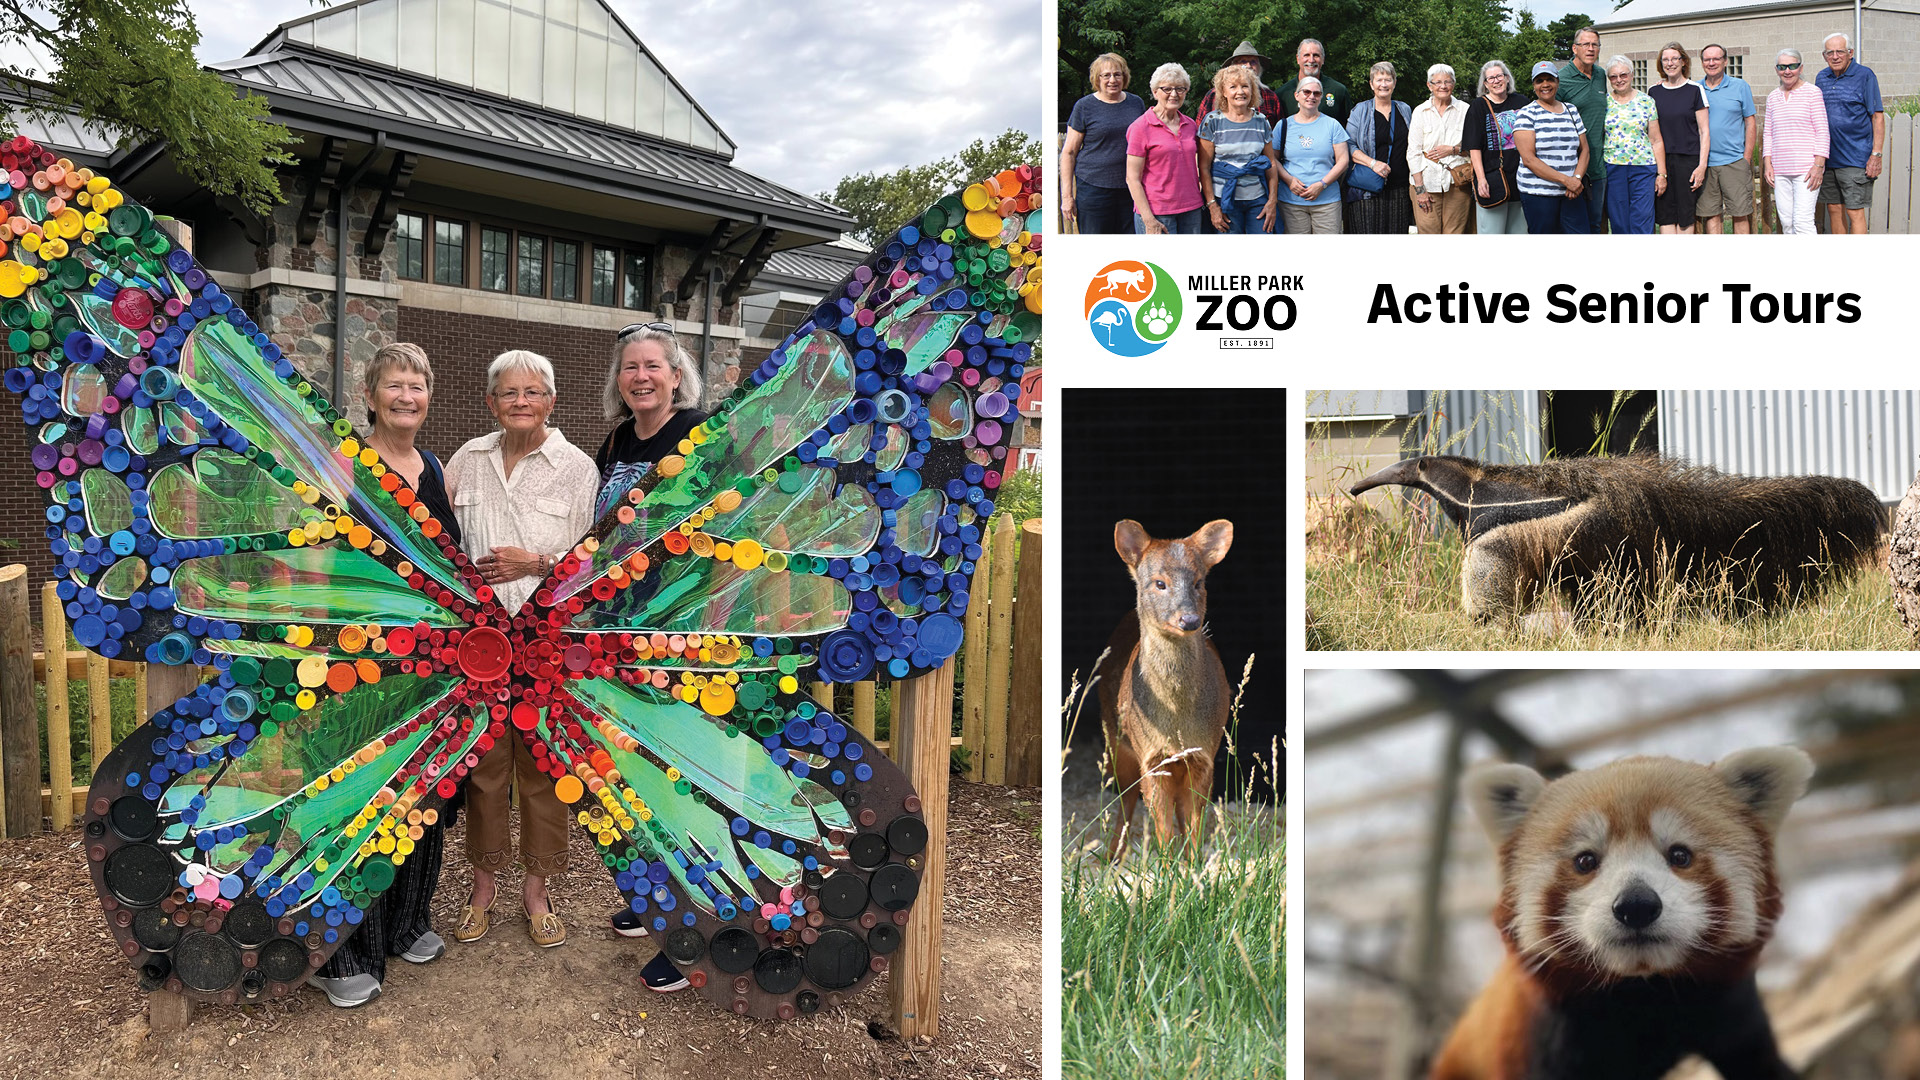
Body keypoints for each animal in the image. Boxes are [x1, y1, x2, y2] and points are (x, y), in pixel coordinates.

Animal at [1098, 515, 1228, 857]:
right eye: (1159, 583)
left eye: (1199, 582)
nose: (1189, 620)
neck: (1177, 721)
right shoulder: (1150, 756)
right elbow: (1162, 830)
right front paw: (1168, 868)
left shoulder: (1205, 754)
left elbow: (1194, 825)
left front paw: (1193, 867)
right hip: (1116, 738)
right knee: (1126, 798)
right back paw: (1113, 854)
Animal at [1436, 745, 1820, 1076]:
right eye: (1585, 861)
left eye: (1680, 855)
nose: (1636, 906)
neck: (1641, 994)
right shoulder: (1545, 1033)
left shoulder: (1727, 1003)